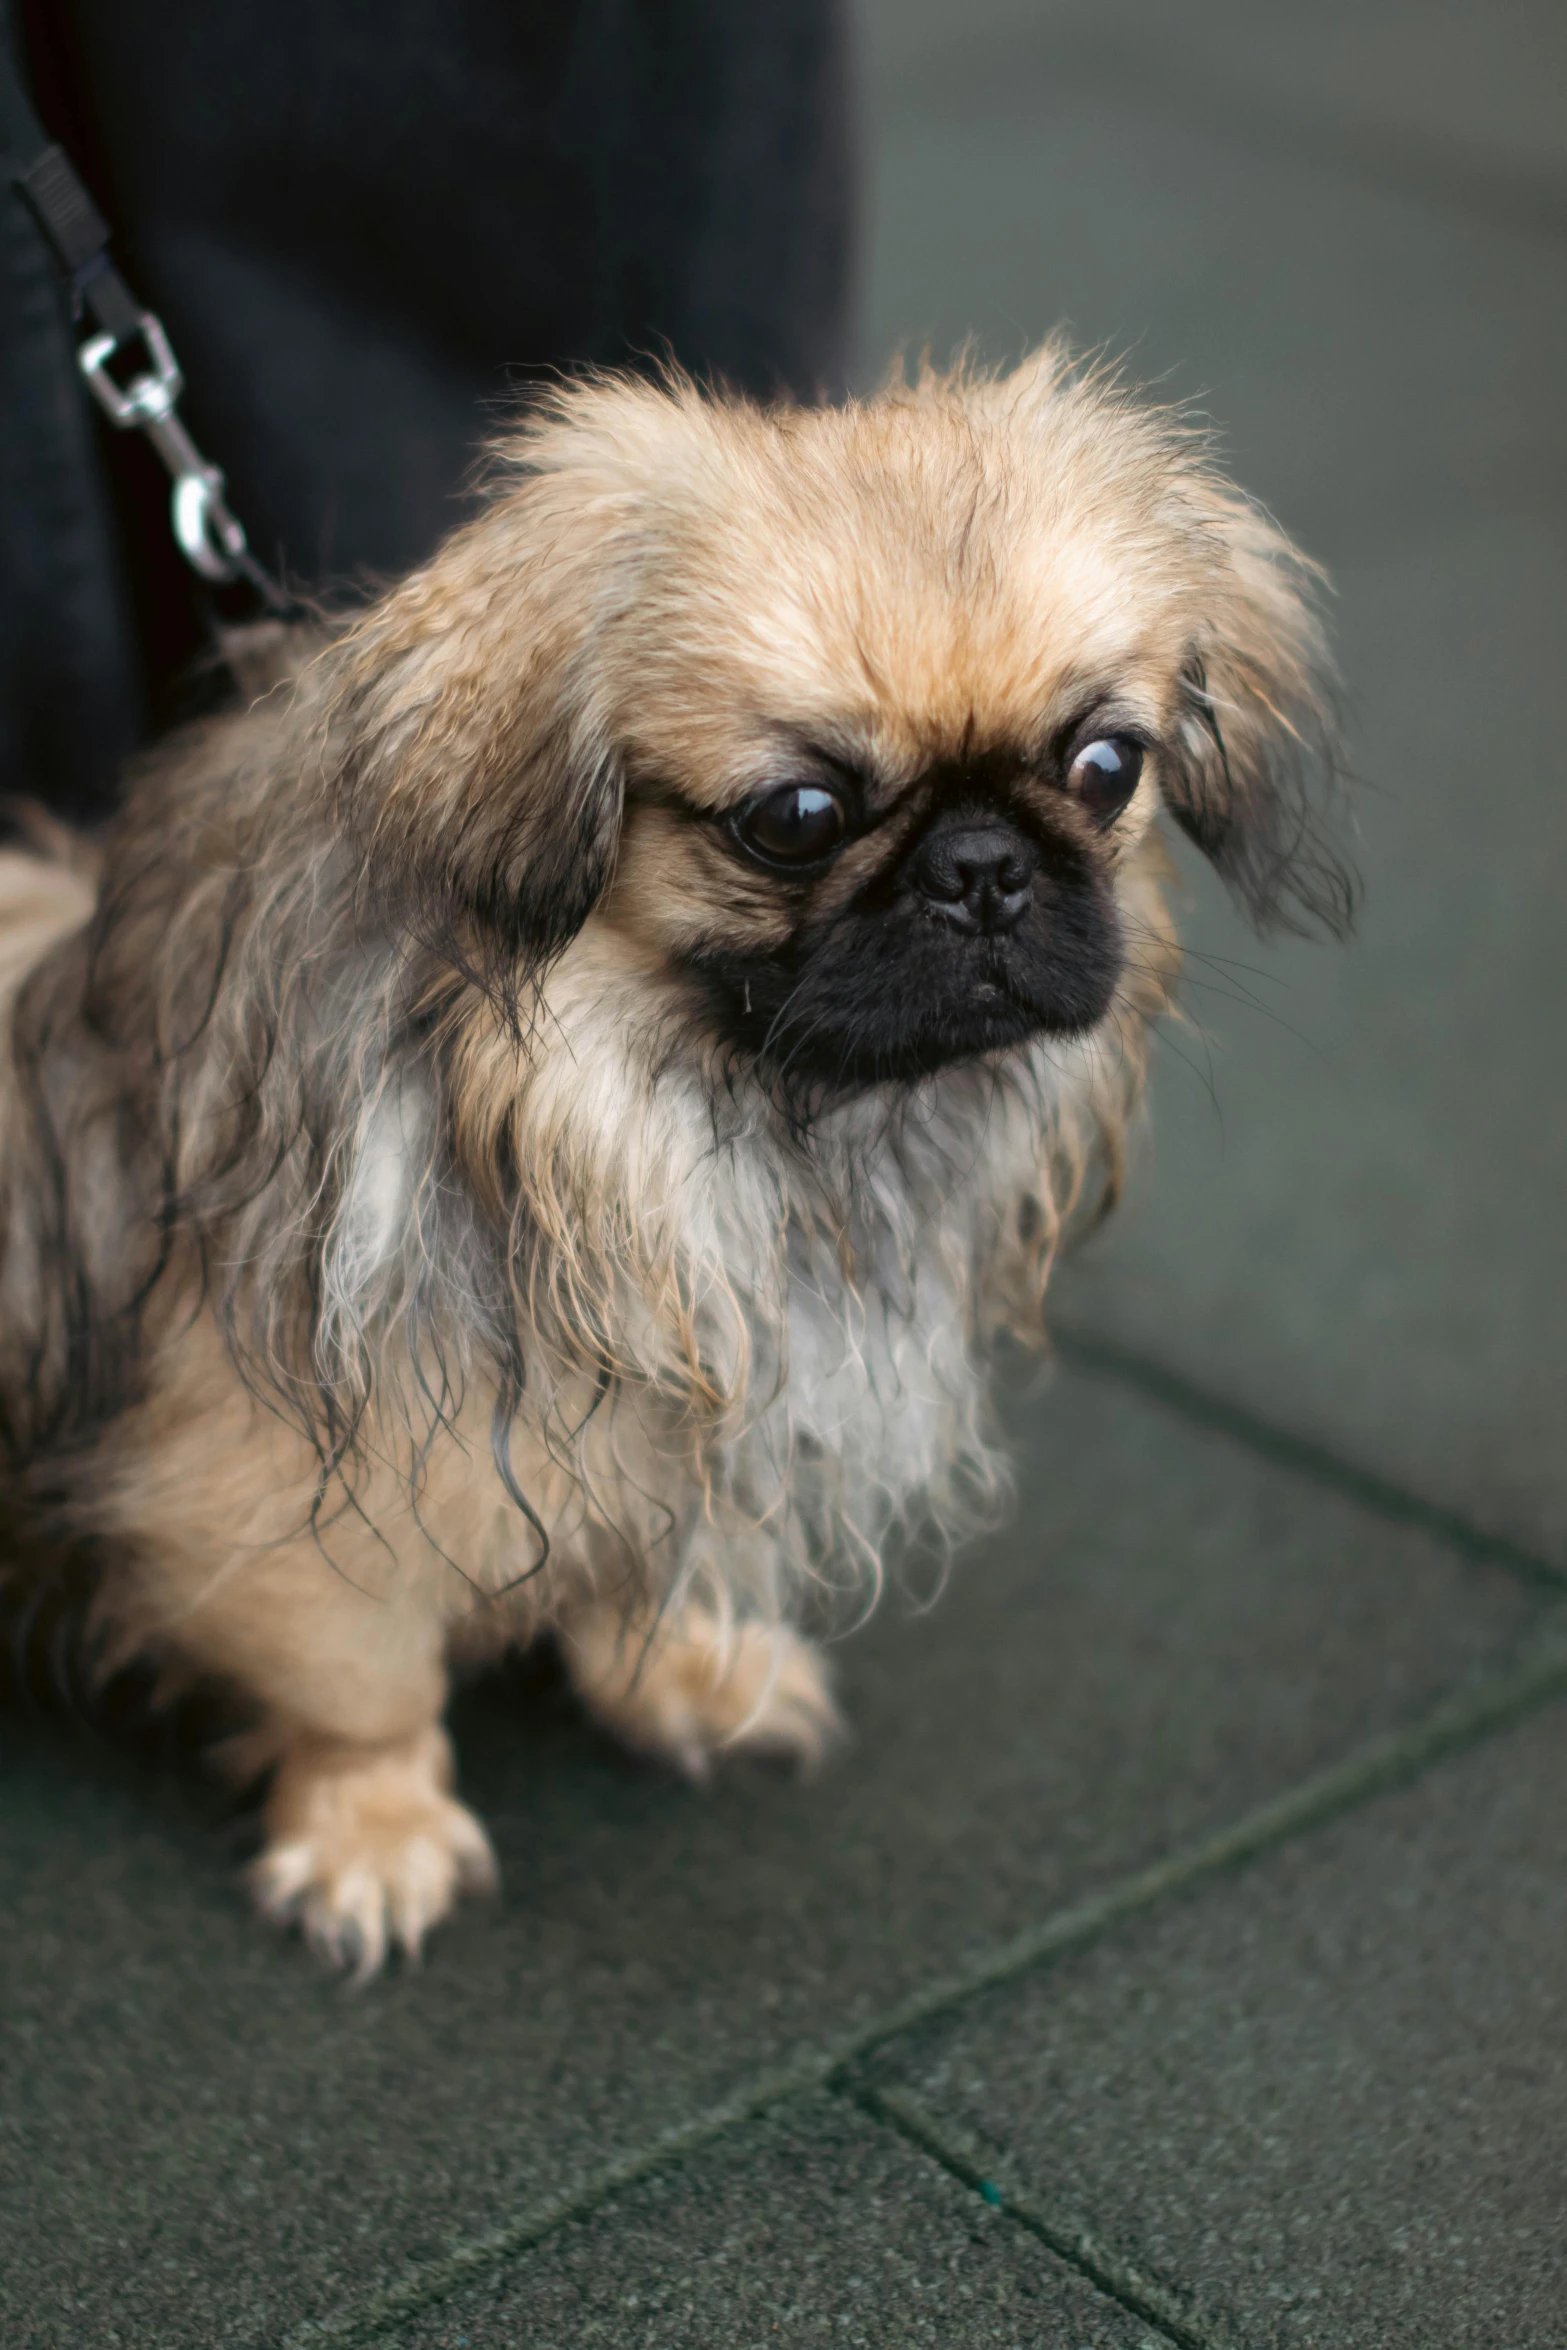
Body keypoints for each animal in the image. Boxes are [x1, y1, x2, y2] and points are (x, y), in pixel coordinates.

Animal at [0, 347, 1353, 1964]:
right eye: (798, 816)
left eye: (1102, 764)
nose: (983, 868)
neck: (684, 1106)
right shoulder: (262, 1473)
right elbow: (363, 1677)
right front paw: (372, 1835)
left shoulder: (678, 1377)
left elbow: (638, 1560)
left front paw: (681, 1675)